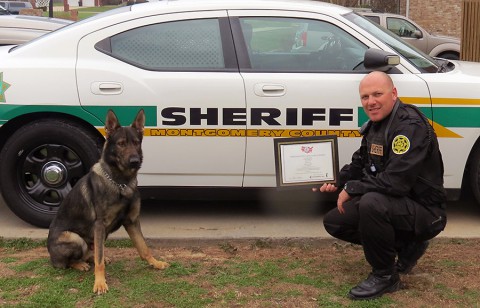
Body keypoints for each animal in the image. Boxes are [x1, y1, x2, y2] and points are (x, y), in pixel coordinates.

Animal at [47, 110, 169, 294]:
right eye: (121, 144)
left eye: (136, 143)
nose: (135, 161)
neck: (121, 183)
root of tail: (50, 254)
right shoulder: (100, 225)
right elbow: (99, 261)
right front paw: (99, 282)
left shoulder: (132, 221)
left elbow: (143, 248)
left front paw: (155, 262)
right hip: (74, 238)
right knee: (68, 262)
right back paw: (79, 264)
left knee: (93, 253)